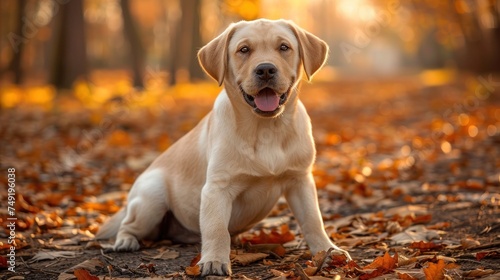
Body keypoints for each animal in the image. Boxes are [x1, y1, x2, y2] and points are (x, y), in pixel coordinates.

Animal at [96, 18, 352, 276]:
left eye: (284, 47)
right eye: (244, 50)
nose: (265, 69)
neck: (266, 128)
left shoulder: (300, 180)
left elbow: (313, 219)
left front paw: (328, 251)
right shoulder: (217, 188)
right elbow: (216, 228)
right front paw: (214, 261)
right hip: (151, 197)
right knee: (129, 224)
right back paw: (125, 241)